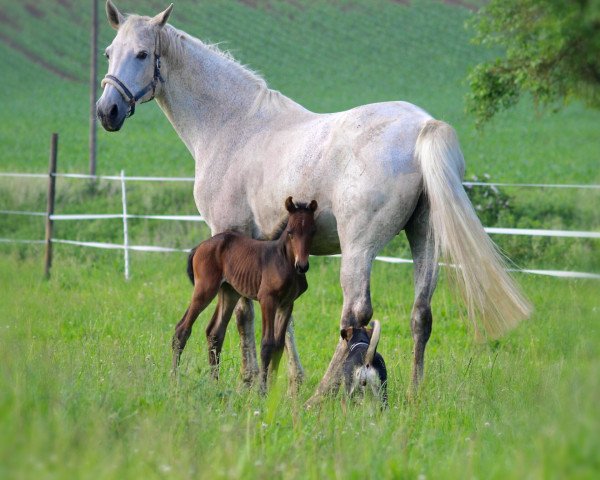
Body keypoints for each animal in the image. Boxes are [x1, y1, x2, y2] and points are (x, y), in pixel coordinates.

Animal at [171, 197, 316, 388]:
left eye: (312, 232)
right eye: (290, 232)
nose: (302, 266)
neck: (284, 260)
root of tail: (200, 246)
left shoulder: (287, 303)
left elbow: (278, 346)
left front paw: (272, 389)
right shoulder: (267, 299)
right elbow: (267, 343)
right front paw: (262, 390)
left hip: (229, 292)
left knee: (214, 332)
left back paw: (214, 383)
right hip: (205, 288)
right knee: (182, 329)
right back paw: (174, 379)